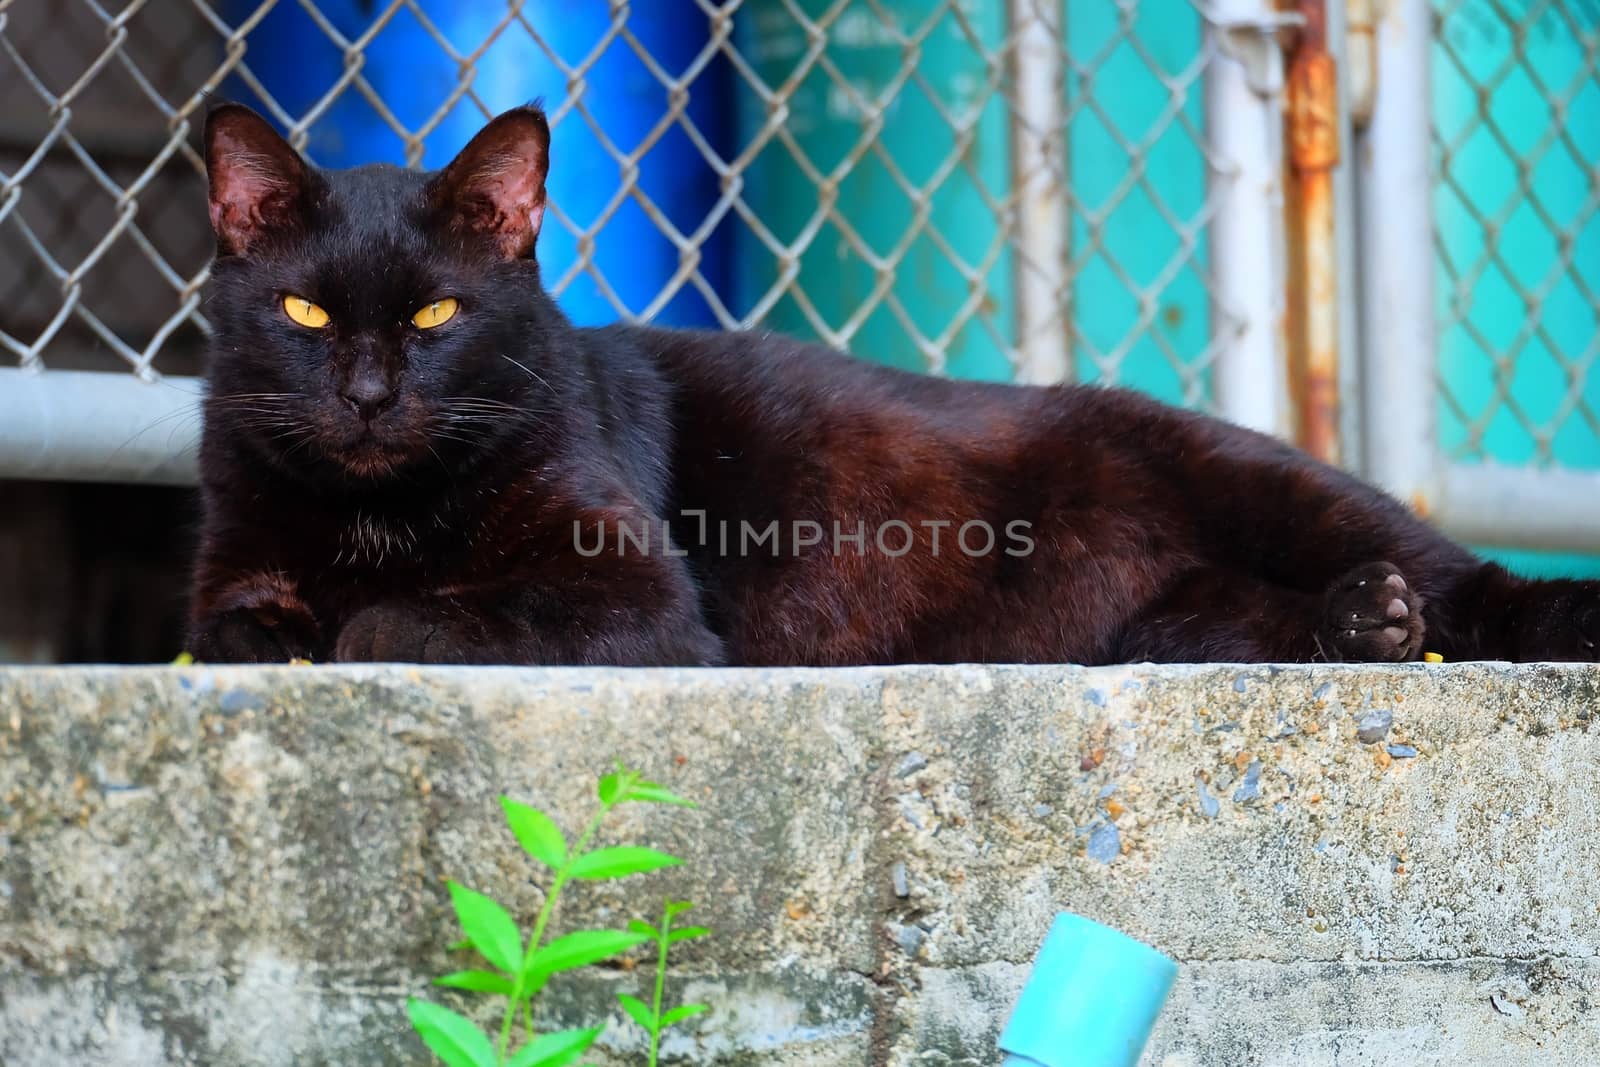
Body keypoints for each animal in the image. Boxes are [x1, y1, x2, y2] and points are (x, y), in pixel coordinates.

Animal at [190, 103, 1600, 662]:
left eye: (437, 313)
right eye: (306, 312)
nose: (368, 394)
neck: (378, 511)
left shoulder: (640, 600)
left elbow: (408, 615)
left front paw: (357, 623)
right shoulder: (226, 574)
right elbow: (244, 622)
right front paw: (294, 627)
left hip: (1272, 482)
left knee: (1471, 586)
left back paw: (1499, 615)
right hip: (1170, 621)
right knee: (1256, 627)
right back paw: (1361, 625)